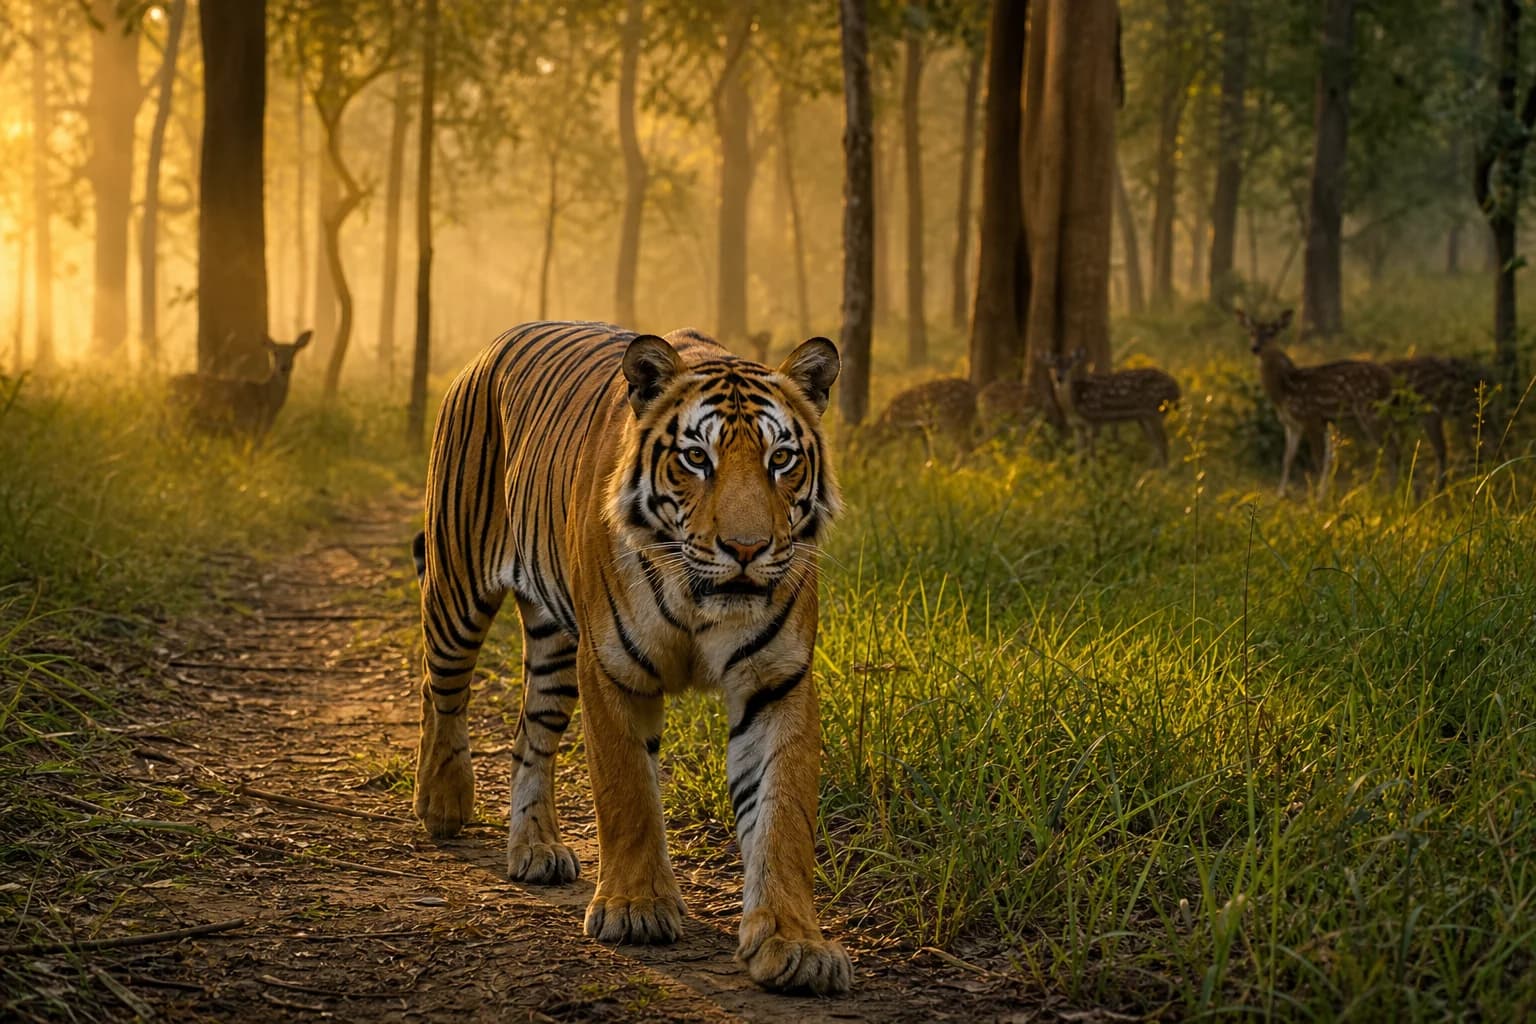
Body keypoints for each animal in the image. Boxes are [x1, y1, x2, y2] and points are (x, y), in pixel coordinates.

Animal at [412, 320, 851, 995]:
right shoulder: (613, 669)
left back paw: (535, 848)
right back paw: (441, 802)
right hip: (457, 587)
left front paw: (793, 942)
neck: (701, 599)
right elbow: (628, 792)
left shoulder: (778, 682)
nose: (747, 549)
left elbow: (782, 817)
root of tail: (495, 343)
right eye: (696, 458)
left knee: (528, 737)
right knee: (440, 690)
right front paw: (636, 909)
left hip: (554, 645)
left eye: (781, 459)